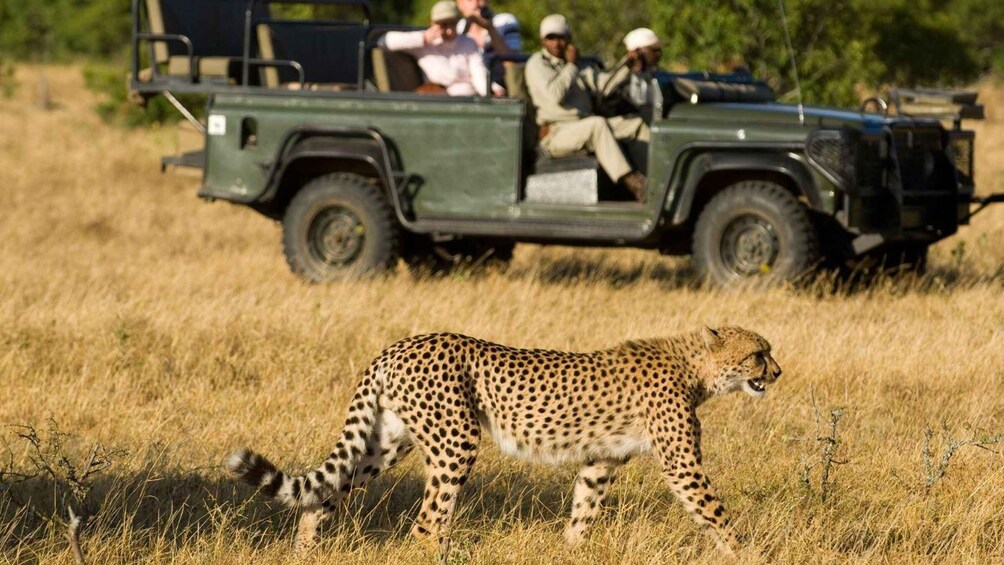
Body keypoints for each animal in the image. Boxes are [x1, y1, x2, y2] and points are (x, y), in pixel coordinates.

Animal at [227, 325, 781, 554]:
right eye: (758, 353)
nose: (777, 372)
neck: (696, 367)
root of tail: (399, 344)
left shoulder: (600, 460)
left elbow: (583, 508)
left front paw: (570, 550)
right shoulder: (682, 464)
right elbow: (715, 512)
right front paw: (751, 553)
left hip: (386, 442)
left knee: (325, 494)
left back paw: (305, 550)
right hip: (455, 439)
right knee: (427, 524)